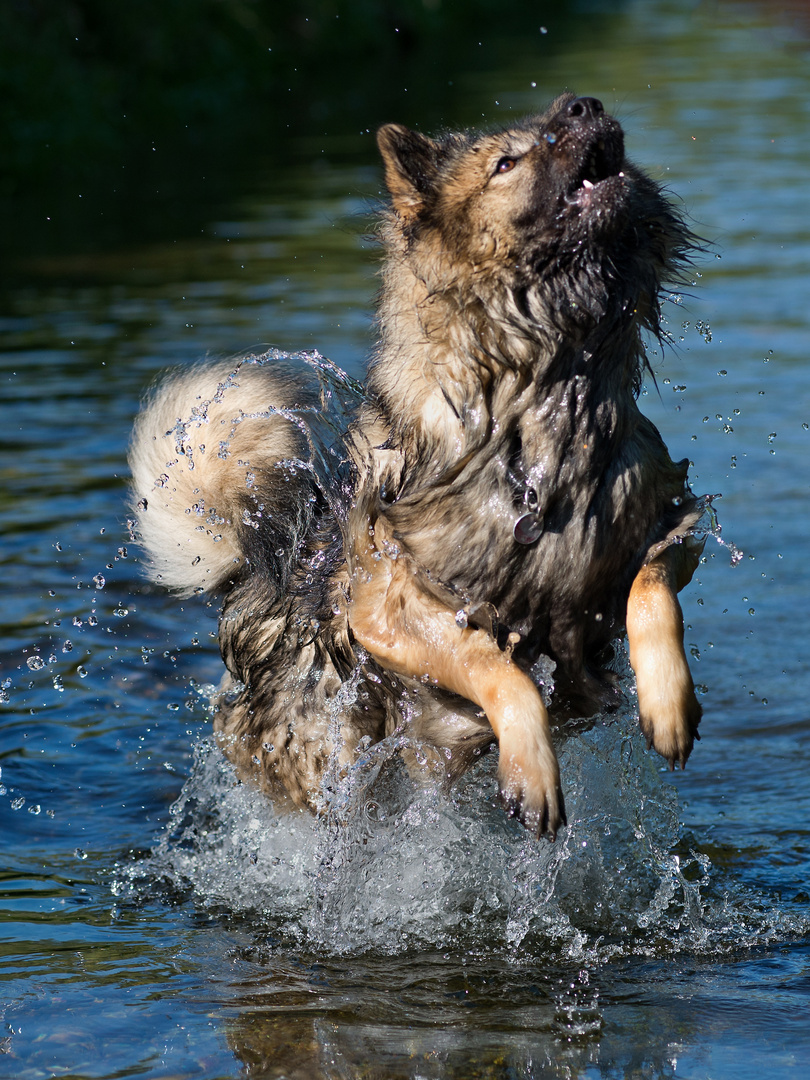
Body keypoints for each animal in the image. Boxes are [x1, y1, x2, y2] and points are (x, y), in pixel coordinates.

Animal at [130, 95, 708, 842]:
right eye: (507, 162)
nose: (585, 103)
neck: (547, 392)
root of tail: (254, 583)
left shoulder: (666, 519)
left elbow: (650, 589)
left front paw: (668, 705)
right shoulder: (386, 607)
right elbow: (498, 666)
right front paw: (531, 765)